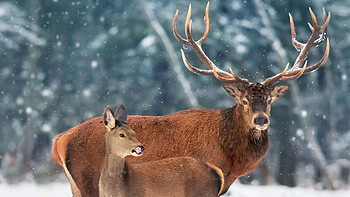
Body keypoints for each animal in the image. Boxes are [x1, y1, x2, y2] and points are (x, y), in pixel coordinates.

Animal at [50, 3, 330, 197]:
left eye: (270, 100)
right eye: (244, 101)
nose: (261, 120)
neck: (232, 160)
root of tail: (59, 141)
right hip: (87, 180)